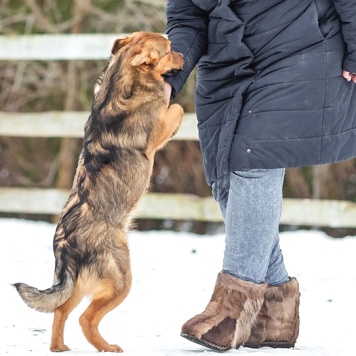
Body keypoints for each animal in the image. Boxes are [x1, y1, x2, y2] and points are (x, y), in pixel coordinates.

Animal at [12, 32, 184, 354]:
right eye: (168, 50)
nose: (184, 55)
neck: (120, 81)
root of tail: (64, 244)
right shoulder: (157, 132)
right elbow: (176, 109)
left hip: (80, 284)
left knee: (60, 310)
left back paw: (60, 347)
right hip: (120, 279)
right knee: (85, 318)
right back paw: (107, 346)